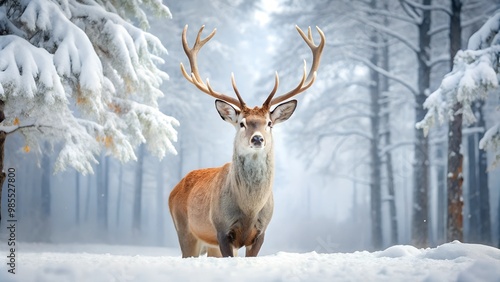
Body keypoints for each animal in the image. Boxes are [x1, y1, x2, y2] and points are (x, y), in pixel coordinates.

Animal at [168, 24, 324, 258]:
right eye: (241, 123)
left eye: (269, 123)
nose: (257, 138)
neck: (250, 210)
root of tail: (173, 190)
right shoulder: (222, 230)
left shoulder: (261, 233)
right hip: (185, 230)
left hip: (209, 245)